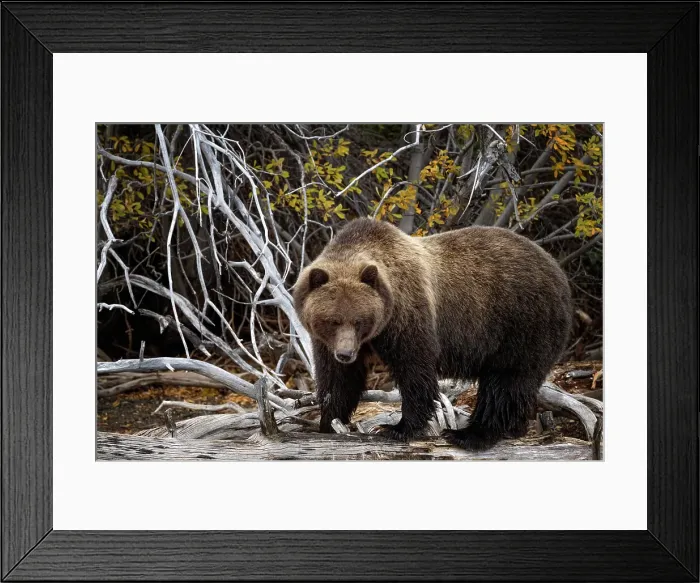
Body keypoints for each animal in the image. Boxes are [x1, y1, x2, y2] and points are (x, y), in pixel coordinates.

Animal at [292, 217, 572, 450]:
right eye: (332, 320)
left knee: (505, 382)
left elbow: (414, 370)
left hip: (521, 322)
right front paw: (327, 423)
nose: (346, 353)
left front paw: (397, 428)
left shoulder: (407, 316)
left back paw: (469, 435)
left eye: (359, 320)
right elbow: (337, 380)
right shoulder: (328, 343)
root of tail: (558, 272)